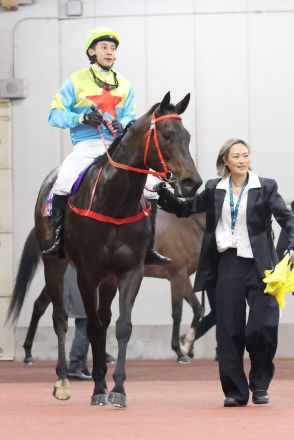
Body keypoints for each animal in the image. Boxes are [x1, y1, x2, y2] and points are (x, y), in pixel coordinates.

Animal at [8, 91, 202, 408]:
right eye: (167, 134)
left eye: (186, 135)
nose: (191, 182)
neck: (114, 202)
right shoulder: (88, 273)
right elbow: (92, 325)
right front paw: (99, 386)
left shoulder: (130, 272)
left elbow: (121, 325)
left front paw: (118, 388)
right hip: (56, 266)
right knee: (59, 318)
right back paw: (61, 380)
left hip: (108, 278)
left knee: (102, 317)